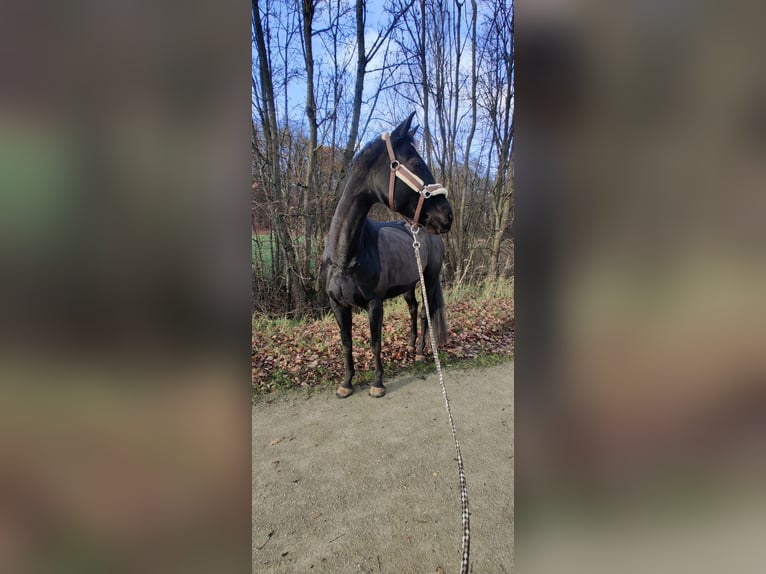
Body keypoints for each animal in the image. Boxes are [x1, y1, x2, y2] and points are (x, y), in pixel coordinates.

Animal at [320, 113, 452, 400]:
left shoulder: (374, 303)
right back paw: (411, 346)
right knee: (413, 309)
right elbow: (346, 342)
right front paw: (346, 383)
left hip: (428, 279)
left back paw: (421, 352)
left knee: (424, 314)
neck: (346, 257)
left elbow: (375, 342)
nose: (447, 215)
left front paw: (378, 383)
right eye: (415, 162)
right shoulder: (338, 305)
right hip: (409, 285)